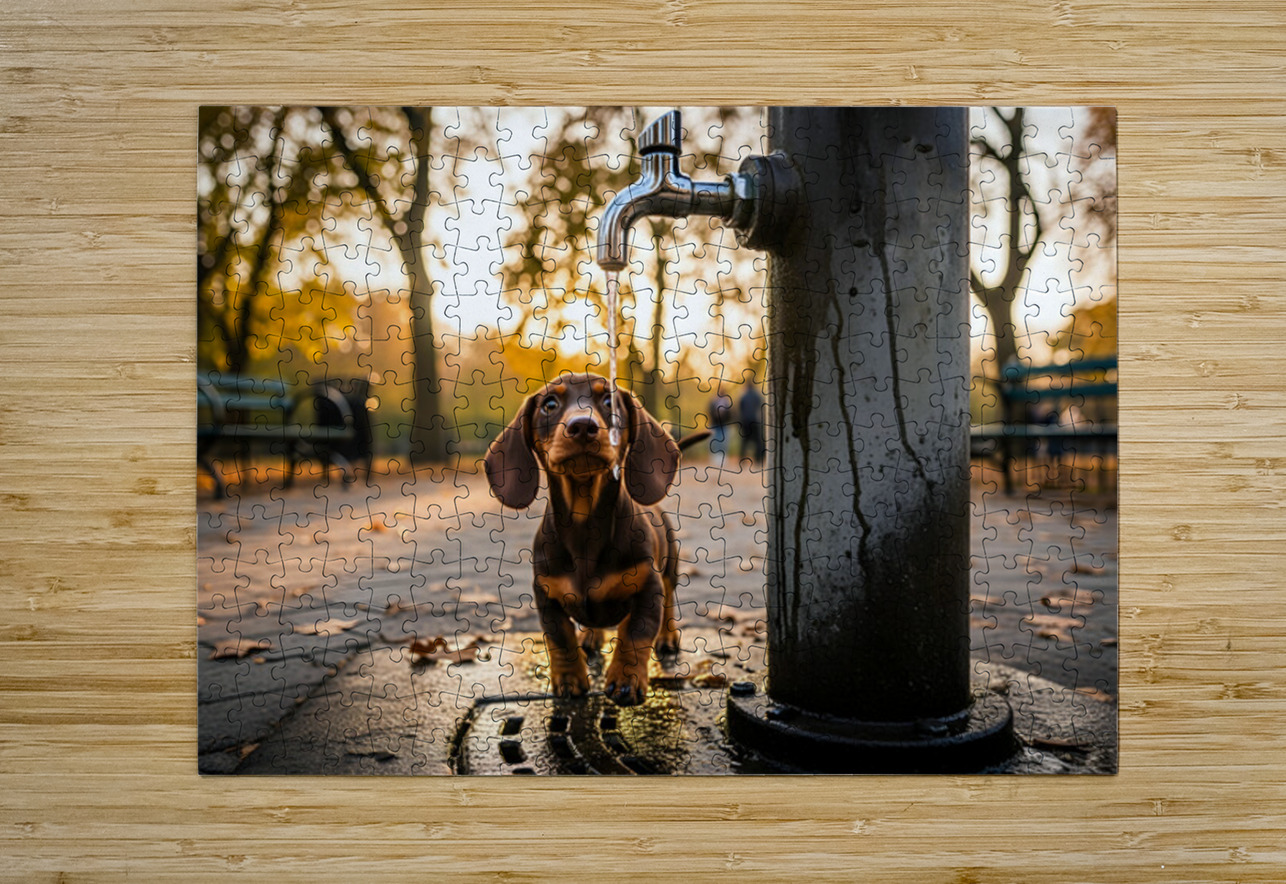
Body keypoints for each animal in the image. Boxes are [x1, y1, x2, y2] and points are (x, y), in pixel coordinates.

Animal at [484, 373, 708, 707]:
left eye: (609, 401)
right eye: (550, 404)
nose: (582, 426)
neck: (584, 523)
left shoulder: (648, 588)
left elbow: (635, 634)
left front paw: (626, 680)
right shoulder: (546, 595)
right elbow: (560, 638)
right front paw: (568, 680)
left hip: (670, 567)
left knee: (669, 600)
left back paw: (667, 637)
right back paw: (590, 637)